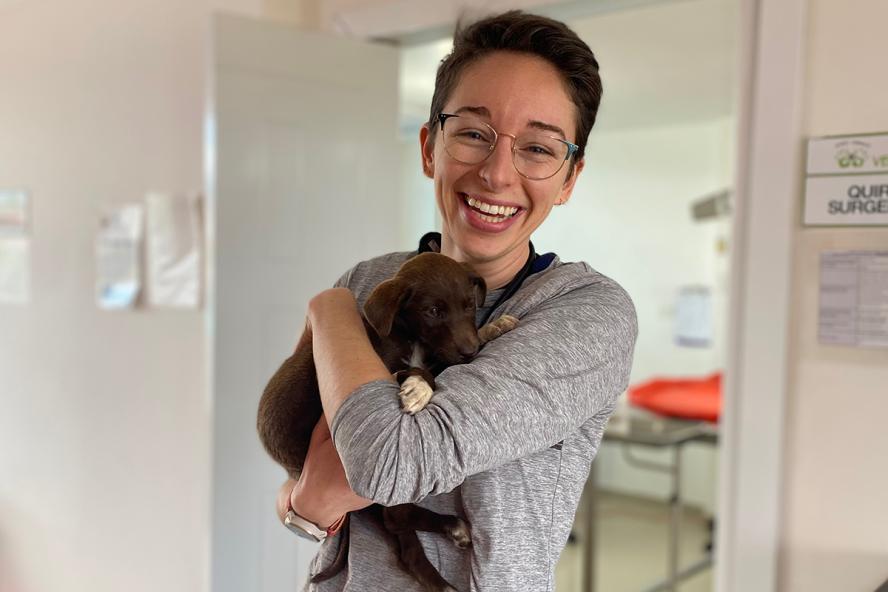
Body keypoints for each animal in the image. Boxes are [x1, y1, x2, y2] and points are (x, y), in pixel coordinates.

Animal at [256, 253, 516, 592]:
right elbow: (428, 371)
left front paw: (494, 328)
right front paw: (419, 388)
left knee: (400, 531)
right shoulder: (388, 371)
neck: (410, 337)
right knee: (398, 522)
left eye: (469, 305)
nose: (470, 351)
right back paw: (447, 556)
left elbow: (442, 363)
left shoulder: (441, 352)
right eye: (433, 311)